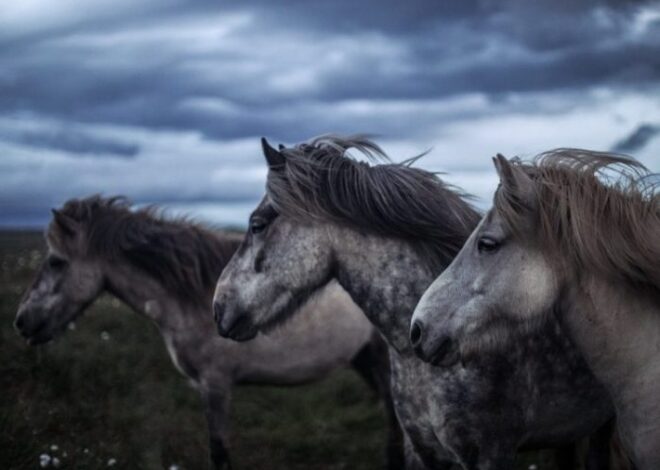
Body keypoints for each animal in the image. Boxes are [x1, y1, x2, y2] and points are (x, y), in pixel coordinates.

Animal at [14, 195, 403, 470]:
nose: (21, 321)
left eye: (56, 262)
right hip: (364, 358)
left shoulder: (215, 386)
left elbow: (220, 453)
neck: (190, 295)